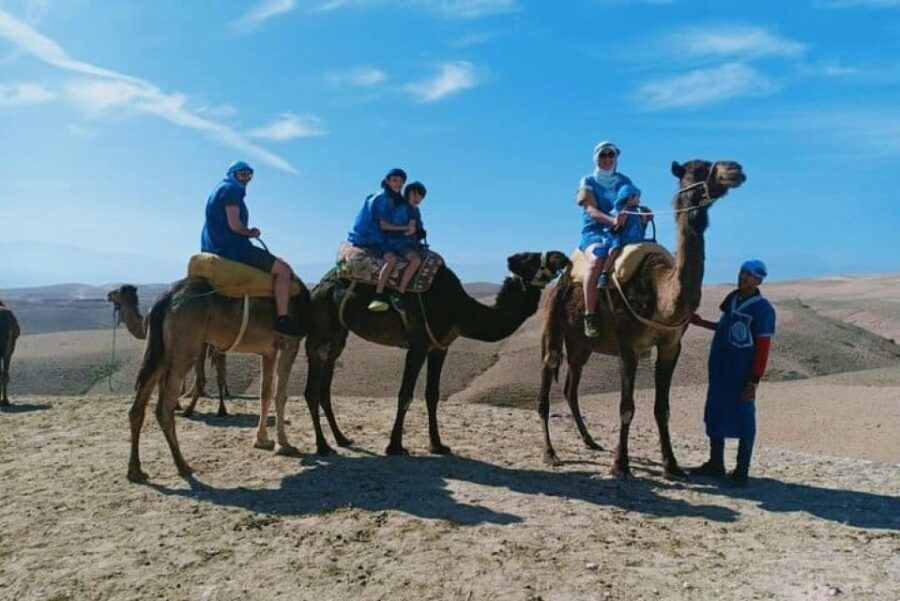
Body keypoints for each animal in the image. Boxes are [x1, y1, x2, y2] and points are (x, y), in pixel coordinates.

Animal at [107, 284, 230, 414]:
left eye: (117, 291)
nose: (108, 295)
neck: (144, 323)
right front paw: (175, 405)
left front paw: (174, 406)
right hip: (216, 345)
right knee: (220, 373)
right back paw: (221, 409)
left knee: (210, 376)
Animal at [125, 278, 312, 482]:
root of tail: (164, 299)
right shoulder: (290, 342)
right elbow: (280, 396)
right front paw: (284, 445)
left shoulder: (269, 351)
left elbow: (265, 394)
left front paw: (262, 440)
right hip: (183, 350)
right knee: (164, 410)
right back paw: (183, 465)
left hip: (160, 352)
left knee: (137, 408)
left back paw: (135, 471)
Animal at [302, 252, 568, 454]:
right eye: (530, 258)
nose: (561, 257)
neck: (457, 309)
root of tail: (317, 288)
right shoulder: (418, 344)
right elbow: (405, 394)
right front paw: (395, 446)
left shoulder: (440, 347)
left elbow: (432, 395)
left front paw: (438, 445)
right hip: (320, 331)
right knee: (312, 389)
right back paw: (323, 446)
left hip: (338, 336)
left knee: (324, 387)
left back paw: (342, 438)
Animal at [536, 159, 748, 478]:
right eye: (697, 171)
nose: (735, 169)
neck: (661, 296)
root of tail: (561, 280)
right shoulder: (629, 347)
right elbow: (627, 407)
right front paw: (620, 464)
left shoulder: (671, 345)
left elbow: (662, 408)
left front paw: (671, 465)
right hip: (553, 323)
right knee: (548, 377)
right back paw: (550, 453)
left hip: (580, 344)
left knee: (571, 387)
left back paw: (590, 441)